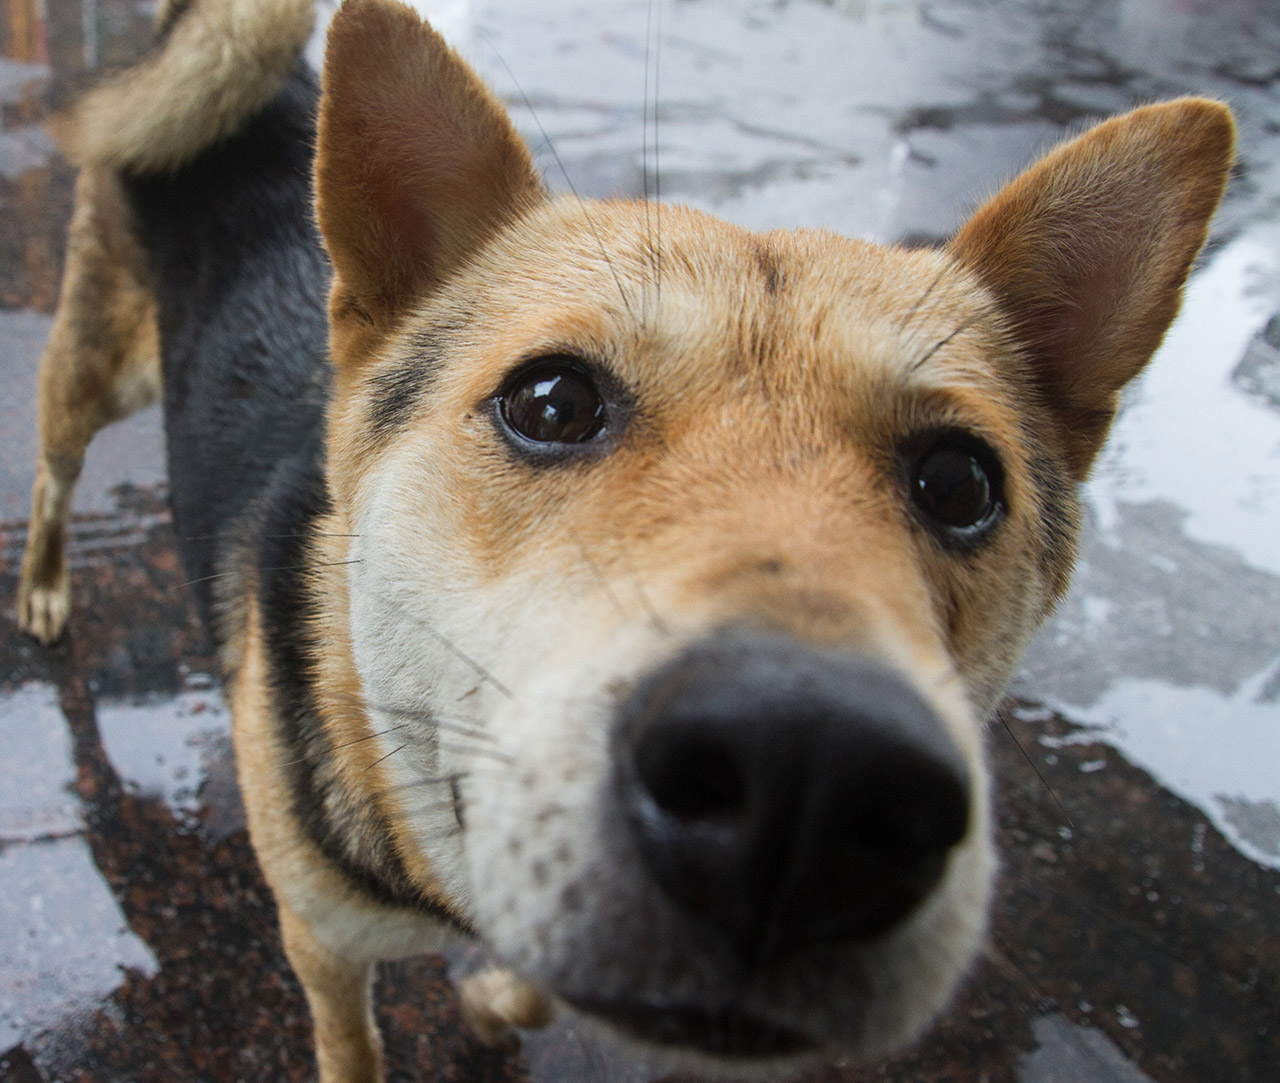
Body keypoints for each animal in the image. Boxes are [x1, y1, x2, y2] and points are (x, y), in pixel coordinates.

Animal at [15, 0, 1233, 1080]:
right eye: (550, 402)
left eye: (959, 481)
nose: (809, 780)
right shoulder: (319, 945)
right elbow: (353, 1048)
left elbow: (533, 983)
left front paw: (496, 997)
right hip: (94, 375)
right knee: (51, 472)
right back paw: (41, 588)